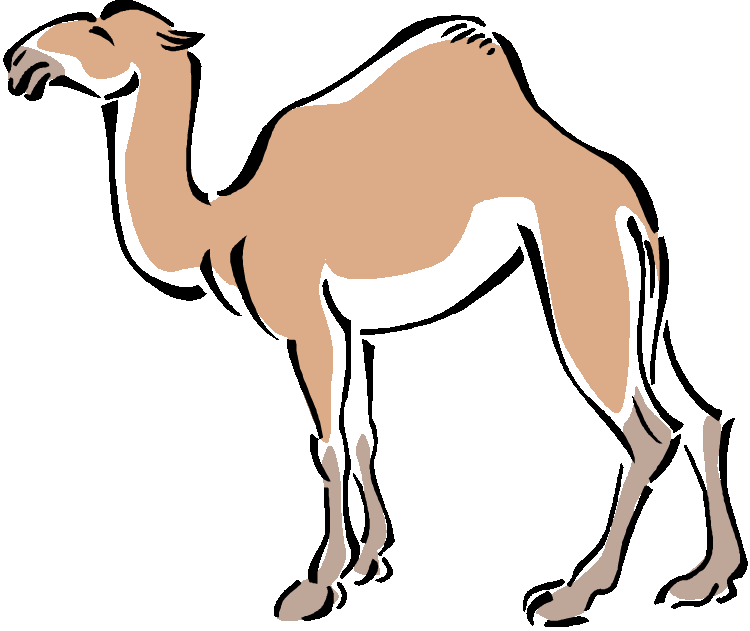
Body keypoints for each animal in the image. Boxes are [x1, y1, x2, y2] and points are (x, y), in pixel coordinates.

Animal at [5, 1, 746, 624]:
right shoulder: (355, 328)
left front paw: (315, 583)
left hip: (581, 276)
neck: (221, 226)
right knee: (702, 414)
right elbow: (364, 432)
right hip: (645, 300)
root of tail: (631, 202)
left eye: (100, 33)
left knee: (649, 432)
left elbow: (326, 443)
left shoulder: (306, 321)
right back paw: (705, 579)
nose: (19, 60)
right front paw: (369, 561)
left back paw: (572, 591)